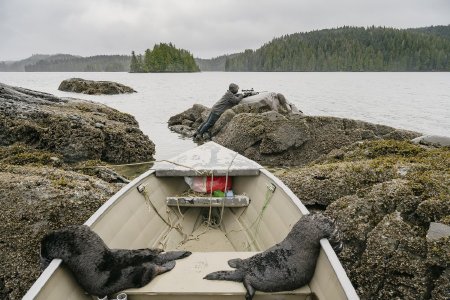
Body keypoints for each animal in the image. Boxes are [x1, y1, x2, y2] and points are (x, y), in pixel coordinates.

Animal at [40, 225, 192, 298]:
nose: (42, 256)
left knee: (156, 269)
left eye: (42, 251)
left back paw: (169, 264)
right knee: (150, 252)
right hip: (141, 255)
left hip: (142, 274)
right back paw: (159, 250)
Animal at [204, 213, 342, 300]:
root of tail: (245, 270)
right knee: (247, 282)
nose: (338, 234)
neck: (298, 239)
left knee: (242, 262)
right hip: (252, 279)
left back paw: (232, 261)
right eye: (336, 229)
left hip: (248, 261)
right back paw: (249, 295)